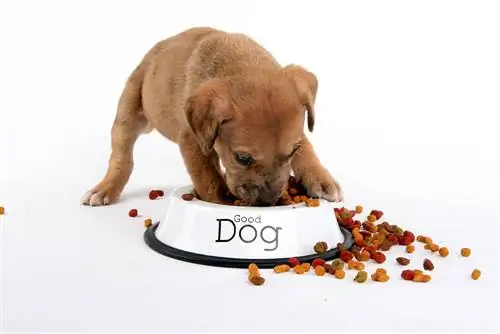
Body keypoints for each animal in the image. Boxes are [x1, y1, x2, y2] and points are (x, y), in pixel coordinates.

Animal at [80, 27, 342, 207]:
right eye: (243, 158)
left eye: (290, 153)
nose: (267, 203)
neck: (242, 62)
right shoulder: (193, 142)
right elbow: (208, 179)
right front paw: (222, 203)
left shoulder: (299, 132)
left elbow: (307, 150)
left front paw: (321, 179)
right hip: (130, 111)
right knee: (122, 156)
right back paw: (105, 189)